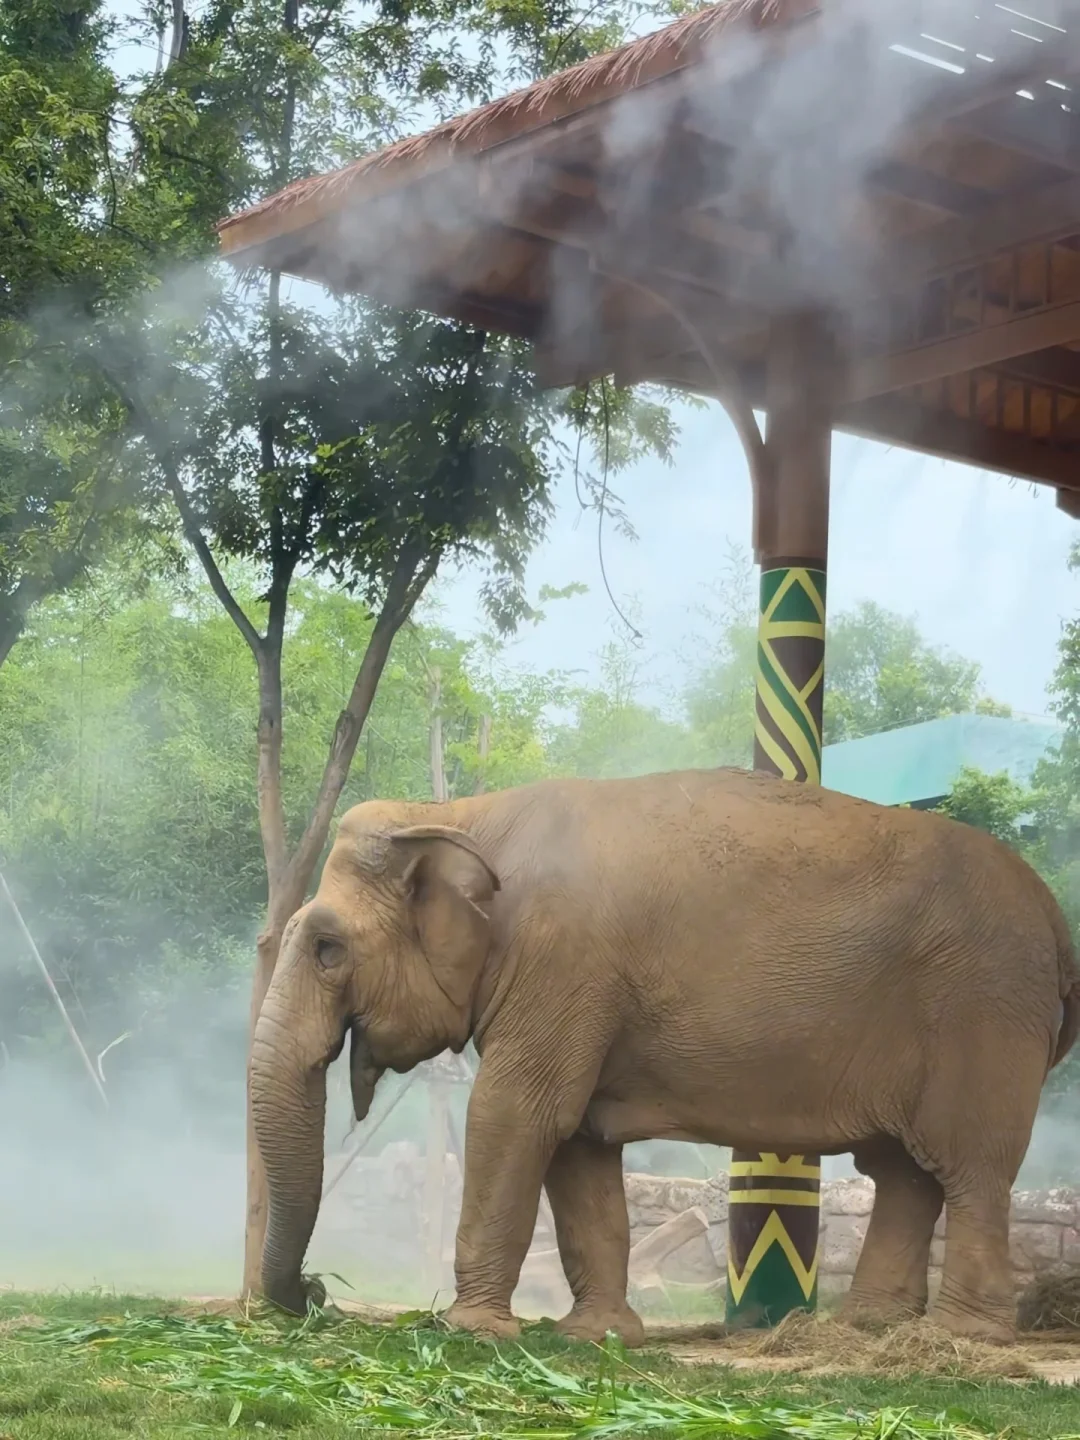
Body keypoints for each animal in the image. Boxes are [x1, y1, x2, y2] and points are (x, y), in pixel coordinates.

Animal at [250, 767, 1079, 1345]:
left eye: (326, 947)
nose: (317, 1291)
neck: (461, 815)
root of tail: (1054, 916)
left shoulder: (563, 965)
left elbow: (516, 1114)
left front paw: (470, 1332)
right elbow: (576, 1141)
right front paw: (598, 1337)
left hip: (984, 1013)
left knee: (968, 1166)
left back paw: (959, 1339)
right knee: (905, 1170)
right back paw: (868, 1330)